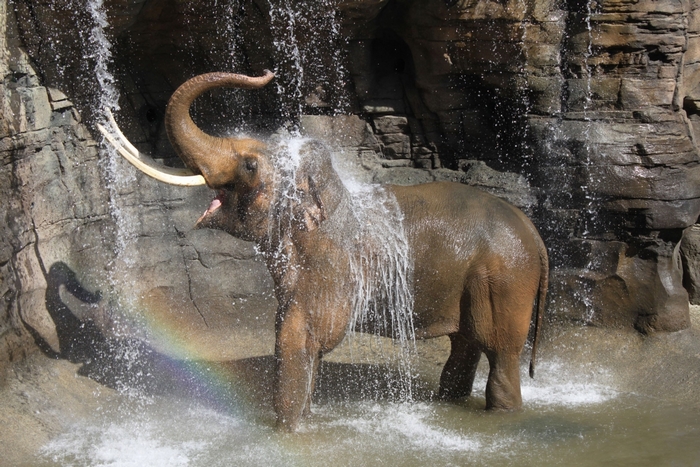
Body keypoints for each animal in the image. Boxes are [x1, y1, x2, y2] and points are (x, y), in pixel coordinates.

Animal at [98, 70, 549, 432]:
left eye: (249, 165)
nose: (268, 73)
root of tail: (536, 234)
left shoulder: (325, 265)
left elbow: (298, 338)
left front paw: (286, 432)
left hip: (505, 278)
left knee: (500, 352)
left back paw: (501, 414)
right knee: (465, 346)